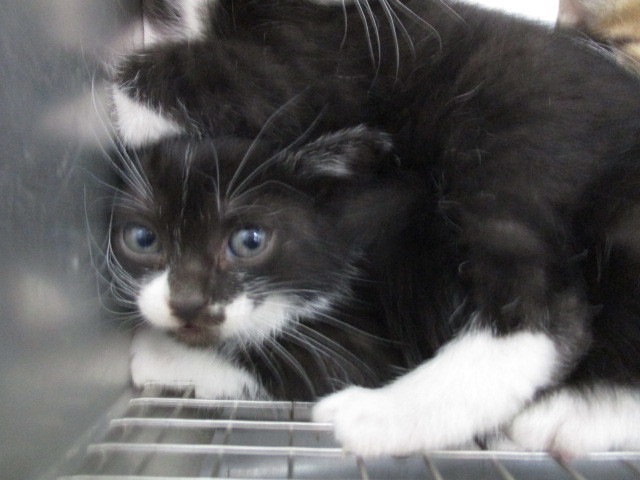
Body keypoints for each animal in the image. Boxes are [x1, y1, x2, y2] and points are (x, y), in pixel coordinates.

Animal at [109, 0, 640, 456]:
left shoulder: (314, 74)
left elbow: (145, 84)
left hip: (511, 140)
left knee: (547, 310)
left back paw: (384, 415)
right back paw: (582, 414)